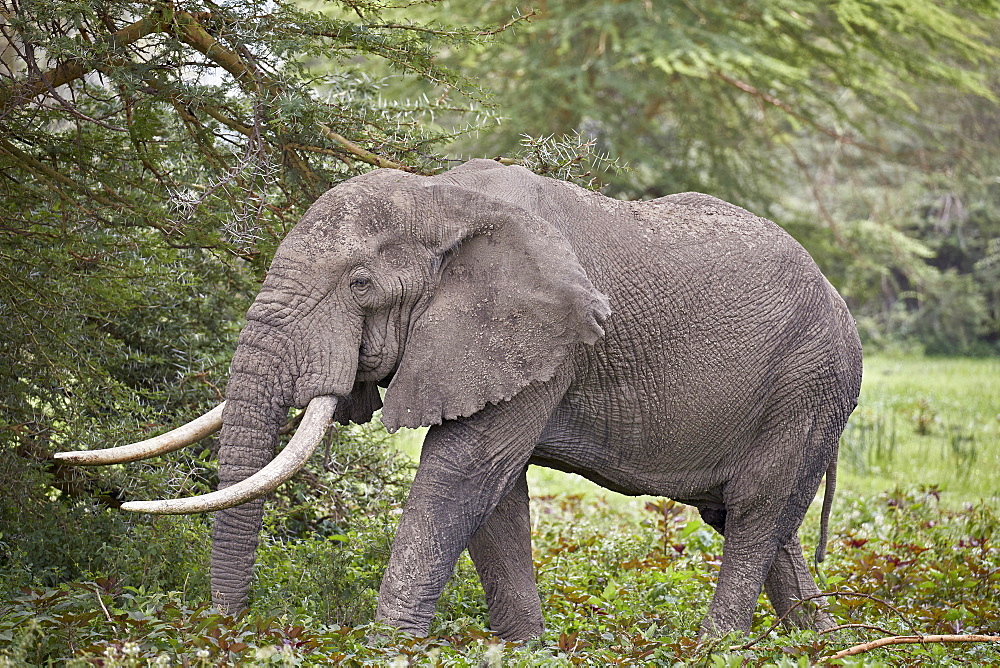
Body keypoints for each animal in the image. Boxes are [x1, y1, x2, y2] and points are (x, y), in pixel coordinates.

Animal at [58, 159, 864, 640]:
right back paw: (817, 643)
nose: (224, 633)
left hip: (812, 381)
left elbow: (462, 472)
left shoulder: (546, 340)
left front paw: (386, 646)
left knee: (757, 507)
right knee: (749, 515)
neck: (439, 196)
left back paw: (716, 646)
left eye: (358, 282)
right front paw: (525, 647)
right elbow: (496, 494)